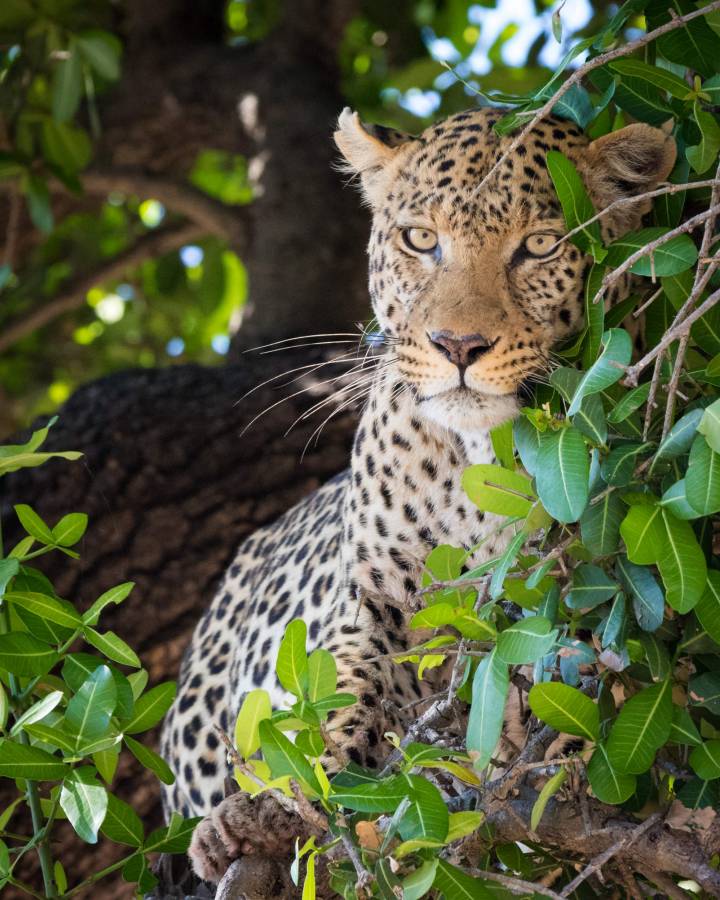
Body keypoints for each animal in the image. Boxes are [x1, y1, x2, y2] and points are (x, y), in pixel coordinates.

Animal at [160, 105, 676, 885]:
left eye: (542, 245)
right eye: (421, 240)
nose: (458, 345)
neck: (477, 461)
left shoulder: (576, 593)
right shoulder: (375, 598)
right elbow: (343, 691)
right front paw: (288, 803)